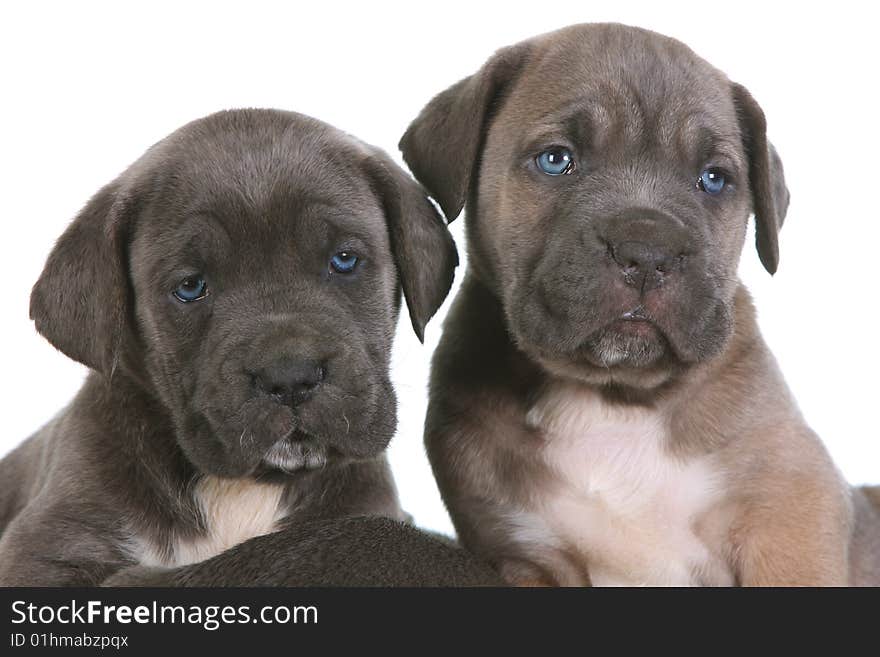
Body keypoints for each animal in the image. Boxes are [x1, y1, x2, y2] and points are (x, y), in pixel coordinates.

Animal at [400, 24, 880, 584]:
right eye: (556, 160)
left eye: (714, 179)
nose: (648, 252)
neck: (612, 396)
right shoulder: (527, 555)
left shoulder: (790, 510)